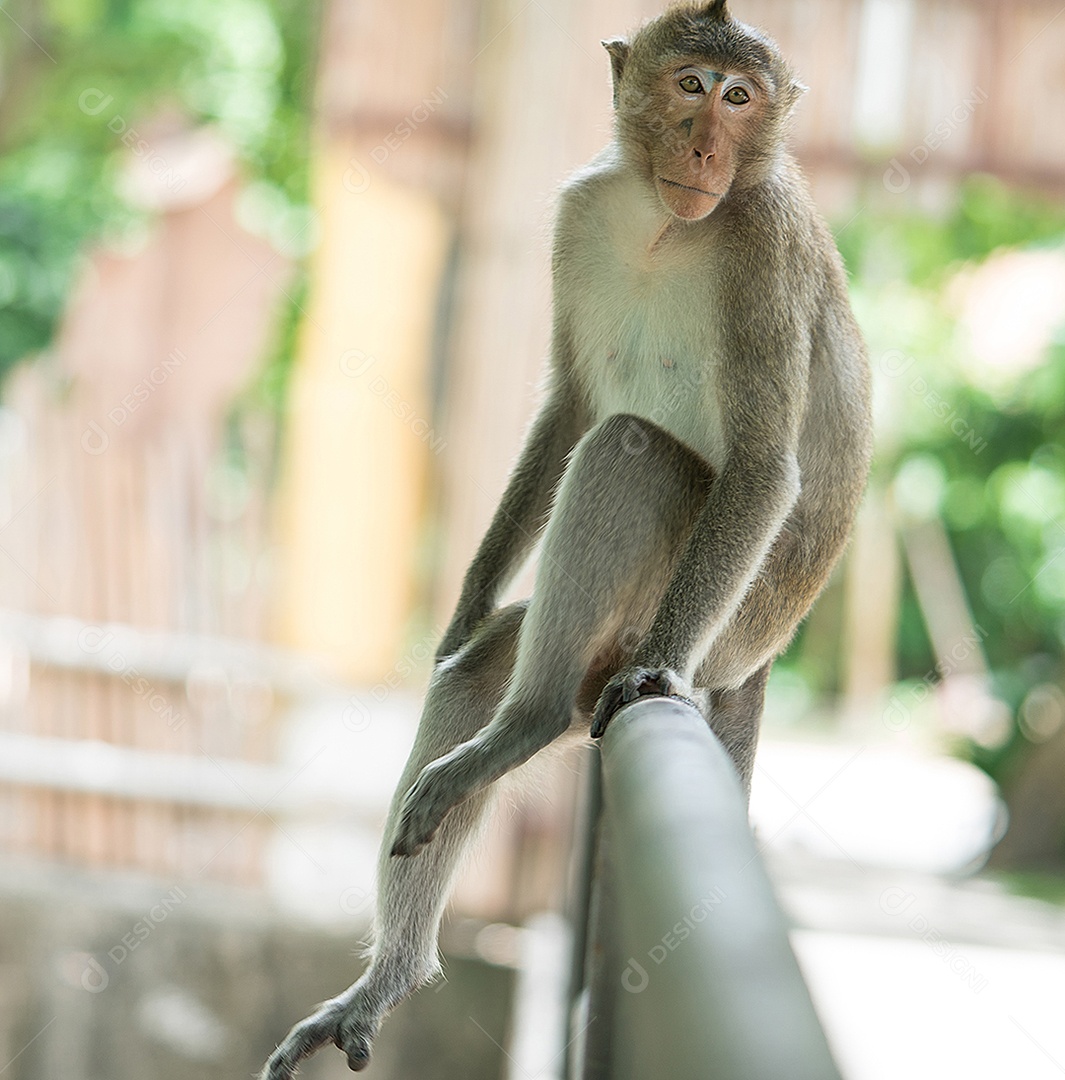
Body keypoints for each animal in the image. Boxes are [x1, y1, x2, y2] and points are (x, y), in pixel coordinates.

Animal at [261, 2, 871, 1075]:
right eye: (689, 85)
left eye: (740, 97)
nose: (706, 146)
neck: (669, 221)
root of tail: (760, 655)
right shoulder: (580, 211)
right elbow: (569, 404)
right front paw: (461, 607)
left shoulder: (762, 242)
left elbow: (760, 464)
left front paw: (653, 674)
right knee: (480, 663)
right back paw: (394, 971)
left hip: (723, 616)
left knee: (629, 453)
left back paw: (533, 719)